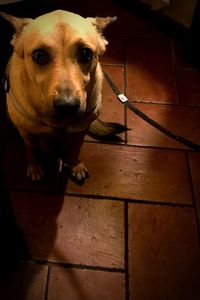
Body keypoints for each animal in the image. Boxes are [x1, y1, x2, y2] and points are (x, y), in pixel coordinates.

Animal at [0, 9, 125, 182]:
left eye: (85, 53)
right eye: (39, 55)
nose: (67, 107)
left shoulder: (81, 129)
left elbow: (75, 148)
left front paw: (75, 165)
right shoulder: (26, 132)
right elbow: (31, 149)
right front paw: (34, 167)